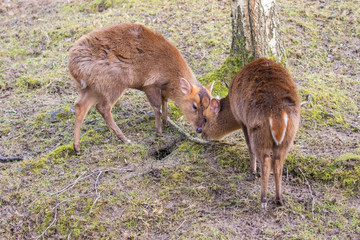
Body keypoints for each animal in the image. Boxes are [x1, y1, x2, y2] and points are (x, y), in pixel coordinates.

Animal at [68, 23, 212, 153]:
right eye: (194, 106)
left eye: (208, 106)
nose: (199, 129)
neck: (171, 77)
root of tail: (73, 66)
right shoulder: (150, 84)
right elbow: (157, 106)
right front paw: (159, 132)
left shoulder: (162, 89)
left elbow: (164, 102)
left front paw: (166, 123)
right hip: (114, 82)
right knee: (103, 107)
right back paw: (125, 139)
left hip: (91, 88)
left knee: (80, 106)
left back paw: (77, 148)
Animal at [201, 58, 300, 208]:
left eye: (205, 119)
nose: (200, 132)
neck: (231, 105)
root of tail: (277, 113)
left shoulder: (243, 122)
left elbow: (249, 148)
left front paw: (252, 173)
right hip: (288, 137)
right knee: (278, 163)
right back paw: (279, 199)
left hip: (258, 133)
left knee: (266, 161)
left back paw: (263, 199)